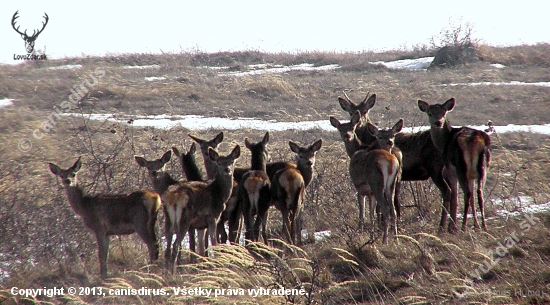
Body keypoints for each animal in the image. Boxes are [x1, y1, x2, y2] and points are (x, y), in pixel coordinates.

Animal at [340, 91, 458, 232]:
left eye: (365, 111)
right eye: (350, 112)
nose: (358, 123)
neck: (365, 143)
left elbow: (383, 205)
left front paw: (383, 226)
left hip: (435, 168)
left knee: (447, 192)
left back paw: (441, 227)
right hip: (449, 170)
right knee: (456, 193)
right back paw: (453, 227)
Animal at [420, 98, 494, 229]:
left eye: (443, 113)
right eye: (429, 113)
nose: (438, 122)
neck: (442, 144)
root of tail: (475, 140)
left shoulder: (449, 171)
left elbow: (454, 196)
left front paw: (452, 227)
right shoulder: (471, 176)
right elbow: (472, 198)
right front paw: (476, 225)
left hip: (460, 167)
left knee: (467, 193)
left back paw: (463, 226)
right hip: (483, 168)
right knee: (479, 193)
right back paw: (484, 226)